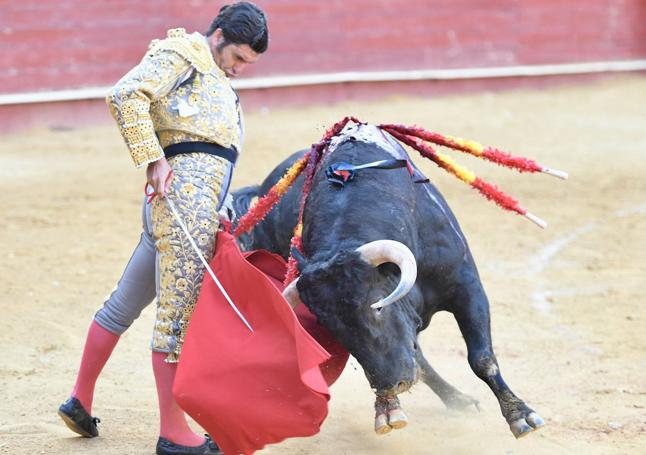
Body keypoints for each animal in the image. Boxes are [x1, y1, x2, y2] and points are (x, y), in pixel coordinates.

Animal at [233, 122, 548, 438]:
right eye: (334, 329)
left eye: (378, 306)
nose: (393, 383)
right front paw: (387, 407)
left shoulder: (466, 285)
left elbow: (482, 359)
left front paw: (521, 415)